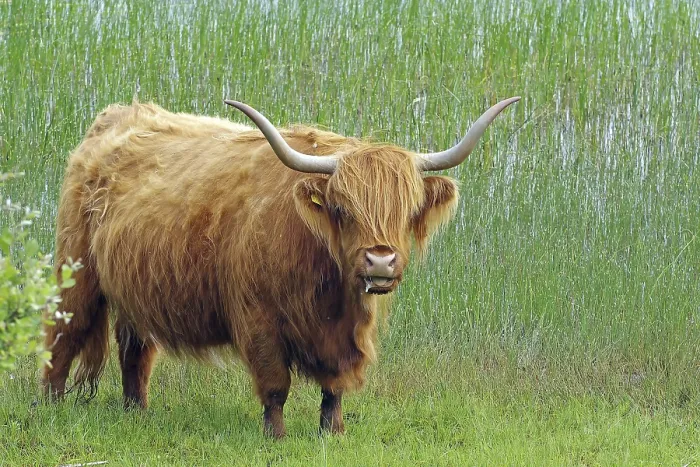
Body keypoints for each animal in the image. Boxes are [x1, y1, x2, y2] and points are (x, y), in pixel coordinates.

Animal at [42, 96, 519, 438]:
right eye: (342, 209)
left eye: (406, 210)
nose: (380, 260)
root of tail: (114, 116)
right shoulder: (258, 319)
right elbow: (275, 383)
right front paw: (277, 437)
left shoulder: (345, 335)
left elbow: (334, 386)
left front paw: (333, 433)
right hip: (76, 269)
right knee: (63, 333)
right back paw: (48, 406)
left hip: (136, 285)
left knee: (134, 351)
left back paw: (136, 413)